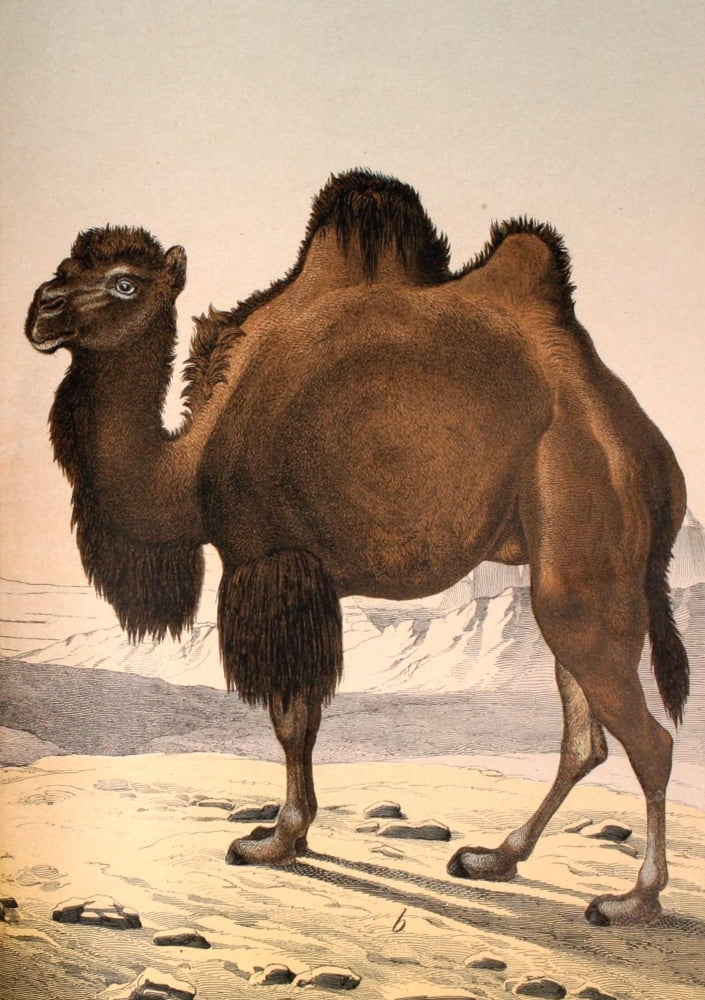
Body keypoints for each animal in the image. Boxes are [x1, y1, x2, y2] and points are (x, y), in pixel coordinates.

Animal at [26, 170, 689, 926]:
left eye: (125, 283)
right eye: (67, 266)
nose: (40, 310)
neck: (185, 463)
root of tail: (648, 451)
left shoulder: (271, 562)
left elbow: (289, 716)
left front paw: (274, 840)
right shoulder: (302, 578)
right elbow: (305, 716)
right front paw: (290, 833)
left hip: (584, 545)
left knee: (650, 739)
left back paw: (631, 899)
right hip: (572, 571)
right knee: (586, 737)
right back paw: (494, 857)